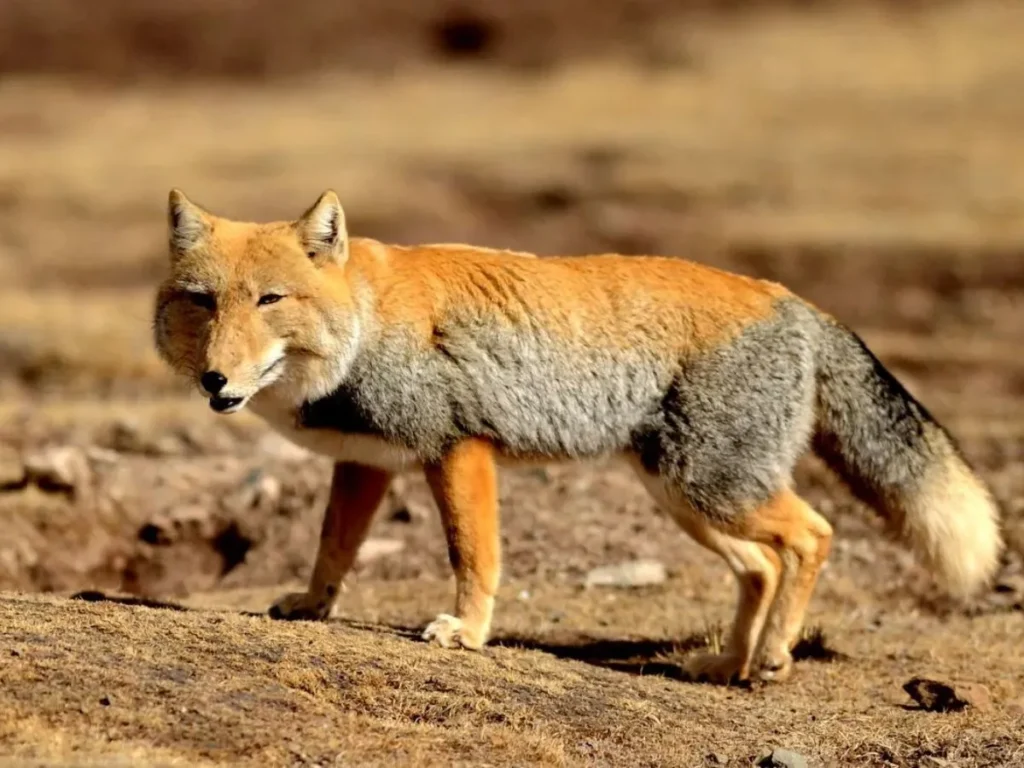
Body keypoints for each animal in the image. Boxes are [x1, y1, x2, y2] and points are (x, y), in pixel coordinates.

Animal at [153, 188, 1003, 684]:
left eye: (269, 301)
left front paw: (468, 630)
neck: (364, 319)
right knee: (762, 565)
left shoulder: (458, 450)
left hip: (711, 487)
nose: (216, 381)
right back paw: (726, 662)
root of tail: (789, 296)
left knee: (814, 535)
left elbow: (474, 555)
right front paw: (311, 604)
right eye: (202, 301)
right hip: (684, 496)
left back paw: (771, 660)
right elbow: (332, 548)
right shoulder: (369, 462)